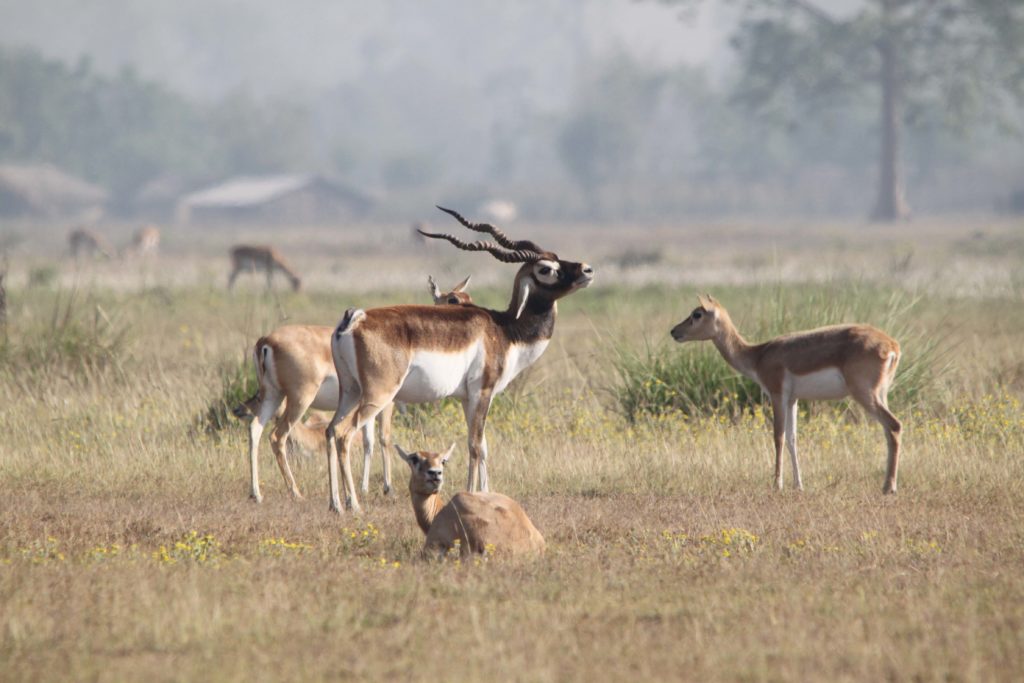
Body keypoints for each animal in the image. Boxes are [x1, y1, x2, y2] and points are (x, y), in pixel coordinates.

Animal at [236, 274, 475, 505]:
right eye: (453, 299)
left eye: (468, 297)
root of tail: (265, 341)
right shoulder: (385, 403)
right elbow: (383, 439)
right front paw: (387, 489)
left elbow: (368, 441)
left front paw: (363, 488)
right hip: (299, 399)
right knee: (278, 437)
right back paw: (296, 493)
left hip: (274, 395)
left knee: (255, 430)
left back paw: (257, 494)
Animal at [323, 206, 598, 511]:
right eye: (546, 269)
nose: (587, 269)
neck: (504, 329)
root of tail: (355, 318)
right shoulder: (482, 392)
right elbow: (475, 445)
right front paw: (471, 495)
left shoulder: (468, 397)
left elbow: (484, 446)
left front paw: (487, 494)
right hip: (378, 395)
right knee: (345, 434)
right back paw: (354, 505)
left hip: (350, 390)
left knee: (330, 431)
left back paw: (335, 504)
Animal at [671, 296, 905, 493]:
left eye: (697, 314)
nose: (674, 331)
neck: (758, 355)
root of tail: (892, 345)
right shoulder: (793, 399)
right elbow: (793, 439)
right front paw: (798, 485)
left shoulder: (777, 395)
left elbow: (778, 437)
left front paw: (777, 484)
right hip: (881, 394)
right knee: (889, 431)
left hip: (864, 394)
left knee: (894, 425)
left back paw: (889, 488)